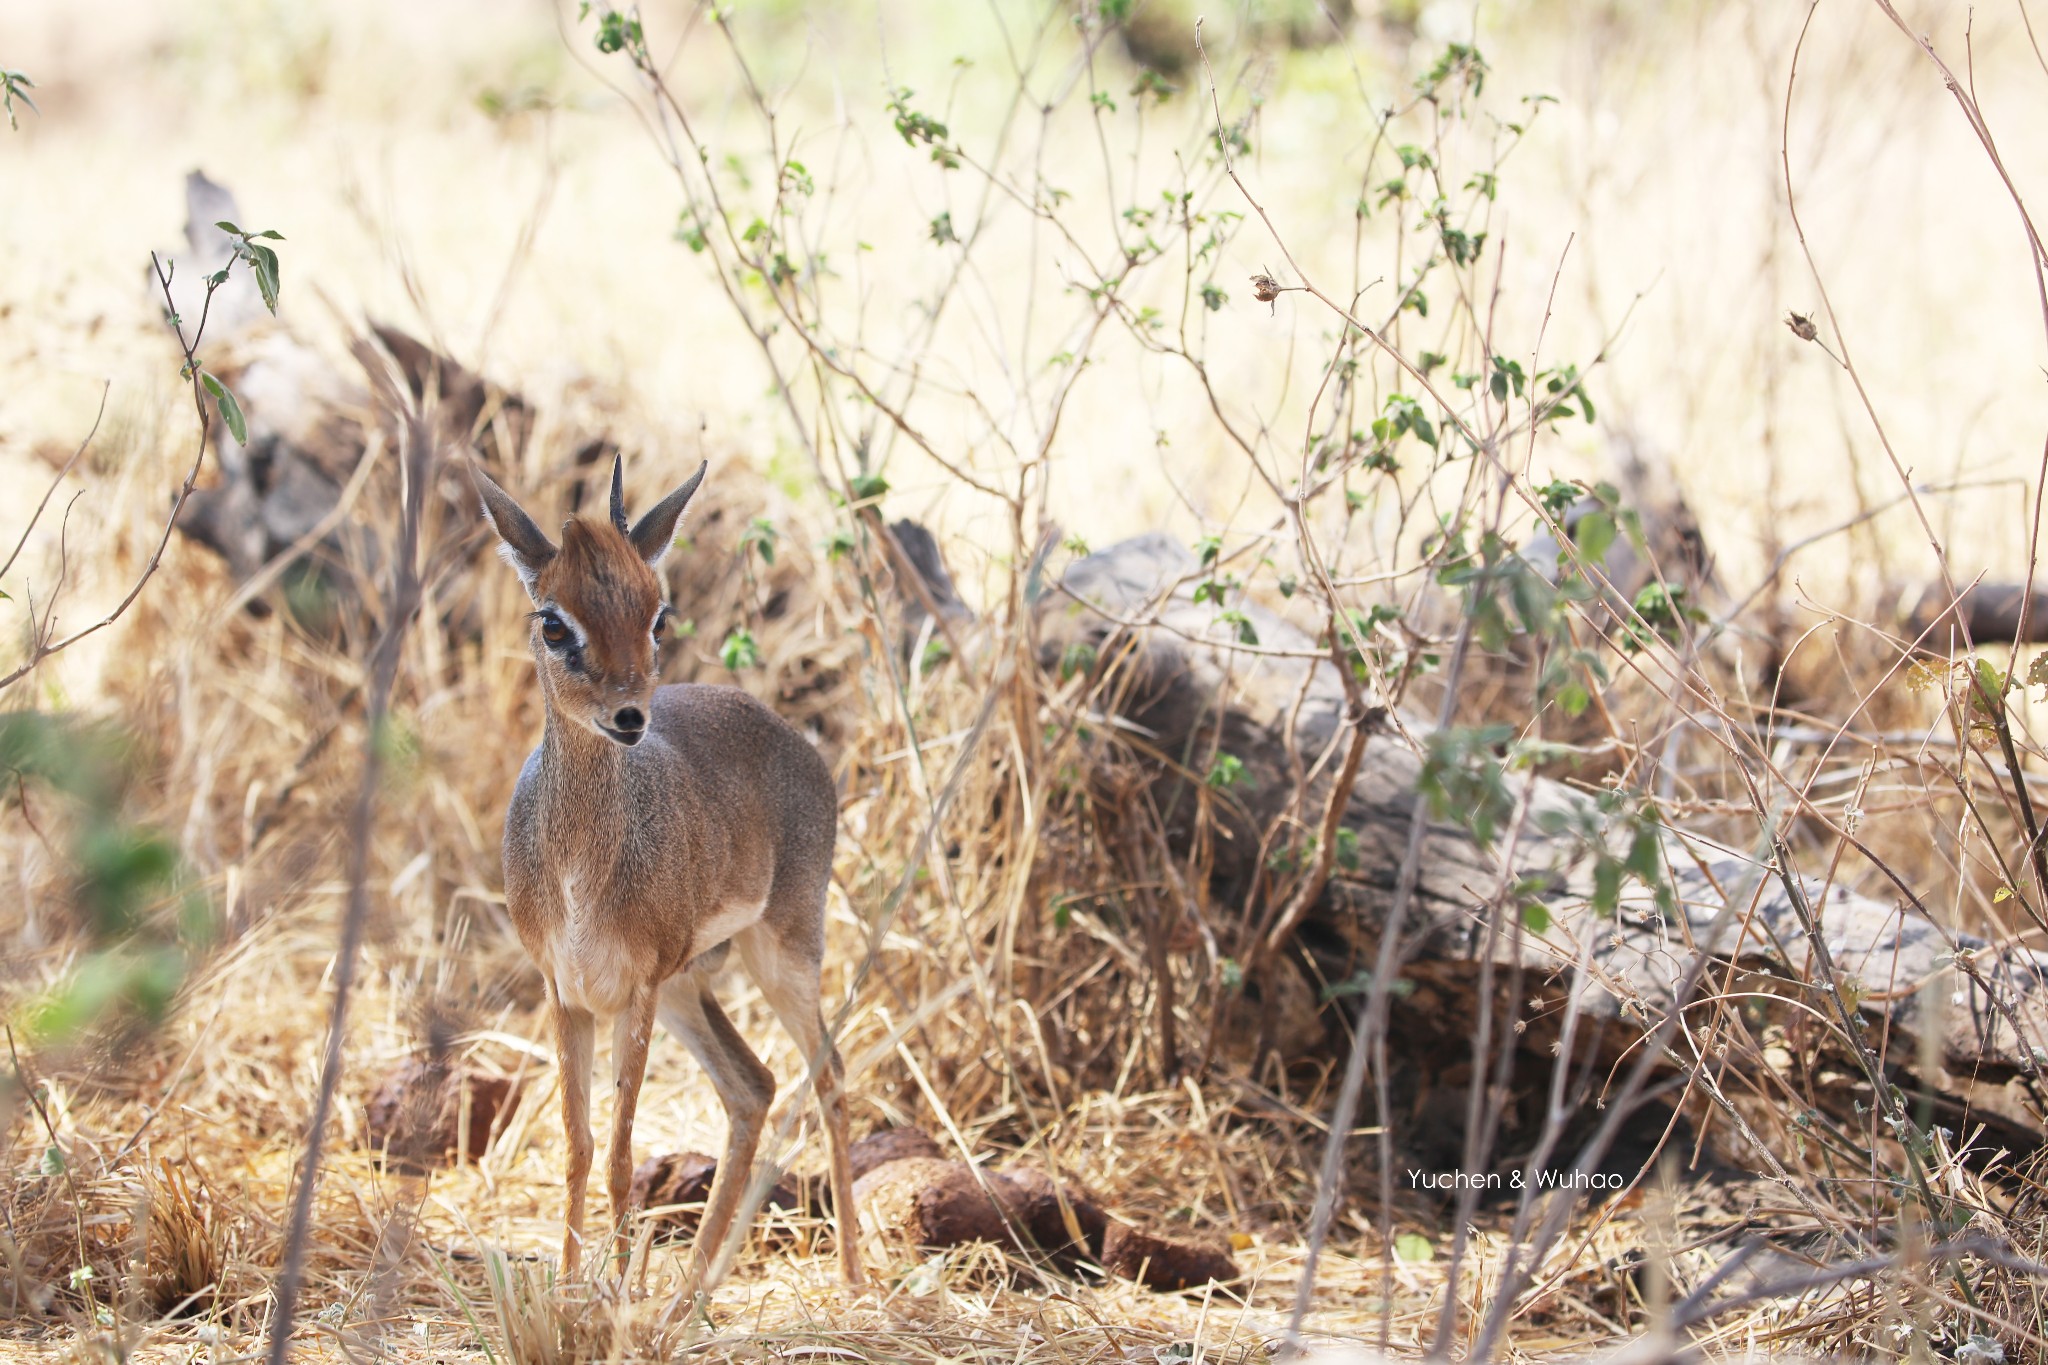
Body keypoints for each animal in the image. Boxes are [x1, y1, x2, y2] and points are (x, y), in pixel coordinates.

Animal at [475, 462, 860, 1293]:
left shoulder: (637, 989)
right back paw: (691, 1290)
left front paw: (615, 1291)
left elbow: (621, 1155)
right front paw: (572, 1286)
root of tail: (795, 739)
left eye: (657, 615)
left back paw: (850, 1275)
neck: (579, 876)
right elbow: (580, 1145)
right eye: (554, 621)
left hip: (781, 956)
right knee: (754, 1086)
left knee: (829, 1072)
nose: (629, 715)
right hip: (691, 985)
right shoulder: (567, 989)